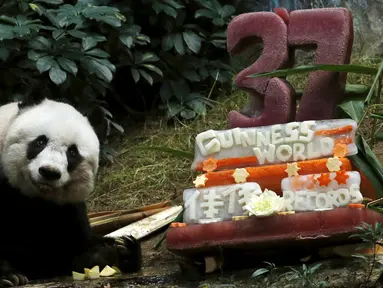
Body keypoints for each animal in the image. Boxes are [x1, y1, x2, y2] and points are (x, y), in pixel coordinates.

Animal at [0, 98, 142, 286]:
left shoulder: (66, 207)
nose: (49, 172)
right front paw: (8, 274)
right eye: (40, 142)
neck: (34, 196)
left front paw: (123, 249)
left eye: (72, 152)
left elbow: (74, 249)